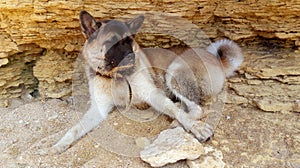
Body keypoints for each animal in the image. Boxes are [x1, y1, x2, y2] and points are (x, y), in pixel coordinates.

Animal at [49, 9, 244, 153]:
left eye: (130, 41)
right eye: (112, 42)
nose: (132, 56)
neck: (117, 77)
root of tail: (217, 60)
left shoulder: (153, 95)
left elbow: (175, 110)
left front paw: (195, 127)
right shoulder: (98, 109)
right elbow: (74, 128)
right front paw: (59, 144)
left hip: (174, 72)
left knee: (196, 108)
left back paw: (178, 122)